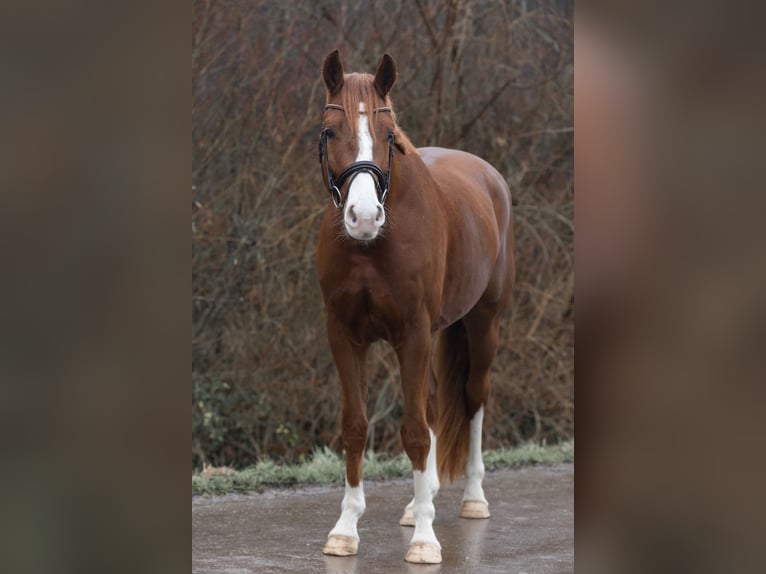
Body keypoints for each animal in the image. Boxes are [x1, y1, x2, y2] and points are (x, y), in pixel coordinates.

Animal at [318, 50, 516, 568]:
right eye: (330, 131)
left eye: (389, 135)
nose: (364, 218)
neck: (371, 248)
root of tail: (488, 176)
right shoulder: (344, 334)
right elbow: (356, 427)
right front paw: (345, 530)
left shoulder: (413, 334)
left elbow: (413, 433)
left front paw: (425, 542)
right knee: (429, 409)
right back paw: (415, 503)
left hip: (483, 324)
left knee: (473, 398)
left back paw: (472, 498)